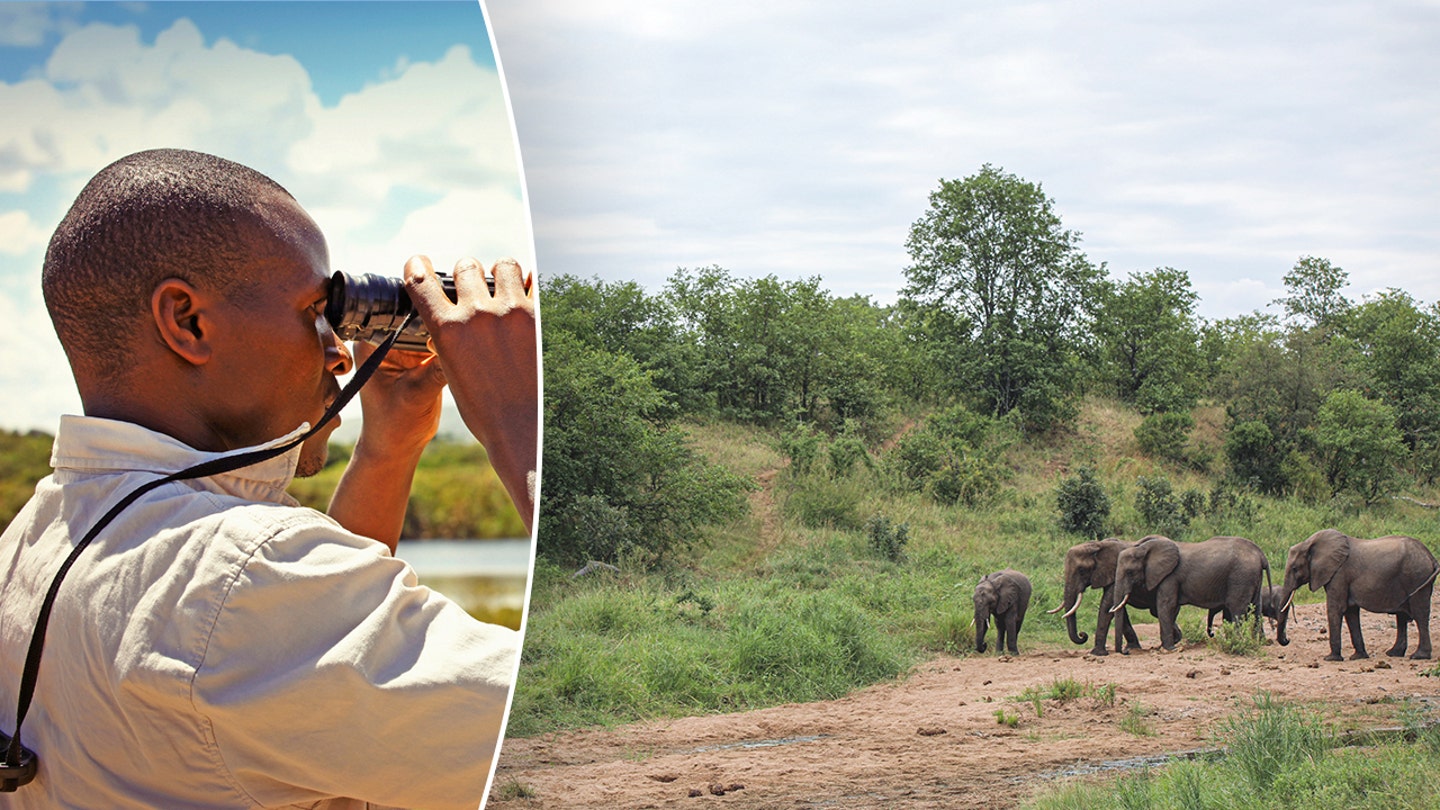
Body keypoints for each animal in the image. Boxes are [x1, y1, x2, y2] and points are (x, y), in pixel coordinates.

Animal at [1111, 536, 1272, 648]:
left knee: (1237, 610)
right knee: (1256, 608)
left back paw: (1237, 641)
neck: (1144, 549)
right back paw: (1260, 642)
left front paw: (1168, 649)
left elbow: (1165, 605)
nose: (1124, 652)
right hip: (1252, 578)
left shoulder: (1170, 576)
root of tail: (1261, 554)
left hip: (1241, 577)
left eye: (1130, 572)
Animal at [1278, 530, 1434, 657]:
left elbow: (1336, 609)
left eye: (1294, 568)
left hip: (1417, 576)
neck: (1309, 543)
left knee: (1420, 614)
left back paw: (1418, 656)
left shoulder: (1339, 574)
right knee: (1401, 617)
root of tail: (1431, 556)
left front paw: (1331, 658)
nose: (1287, 640)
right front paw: (1358, 657)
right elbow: (1351, 612)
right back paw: (1393, 653)